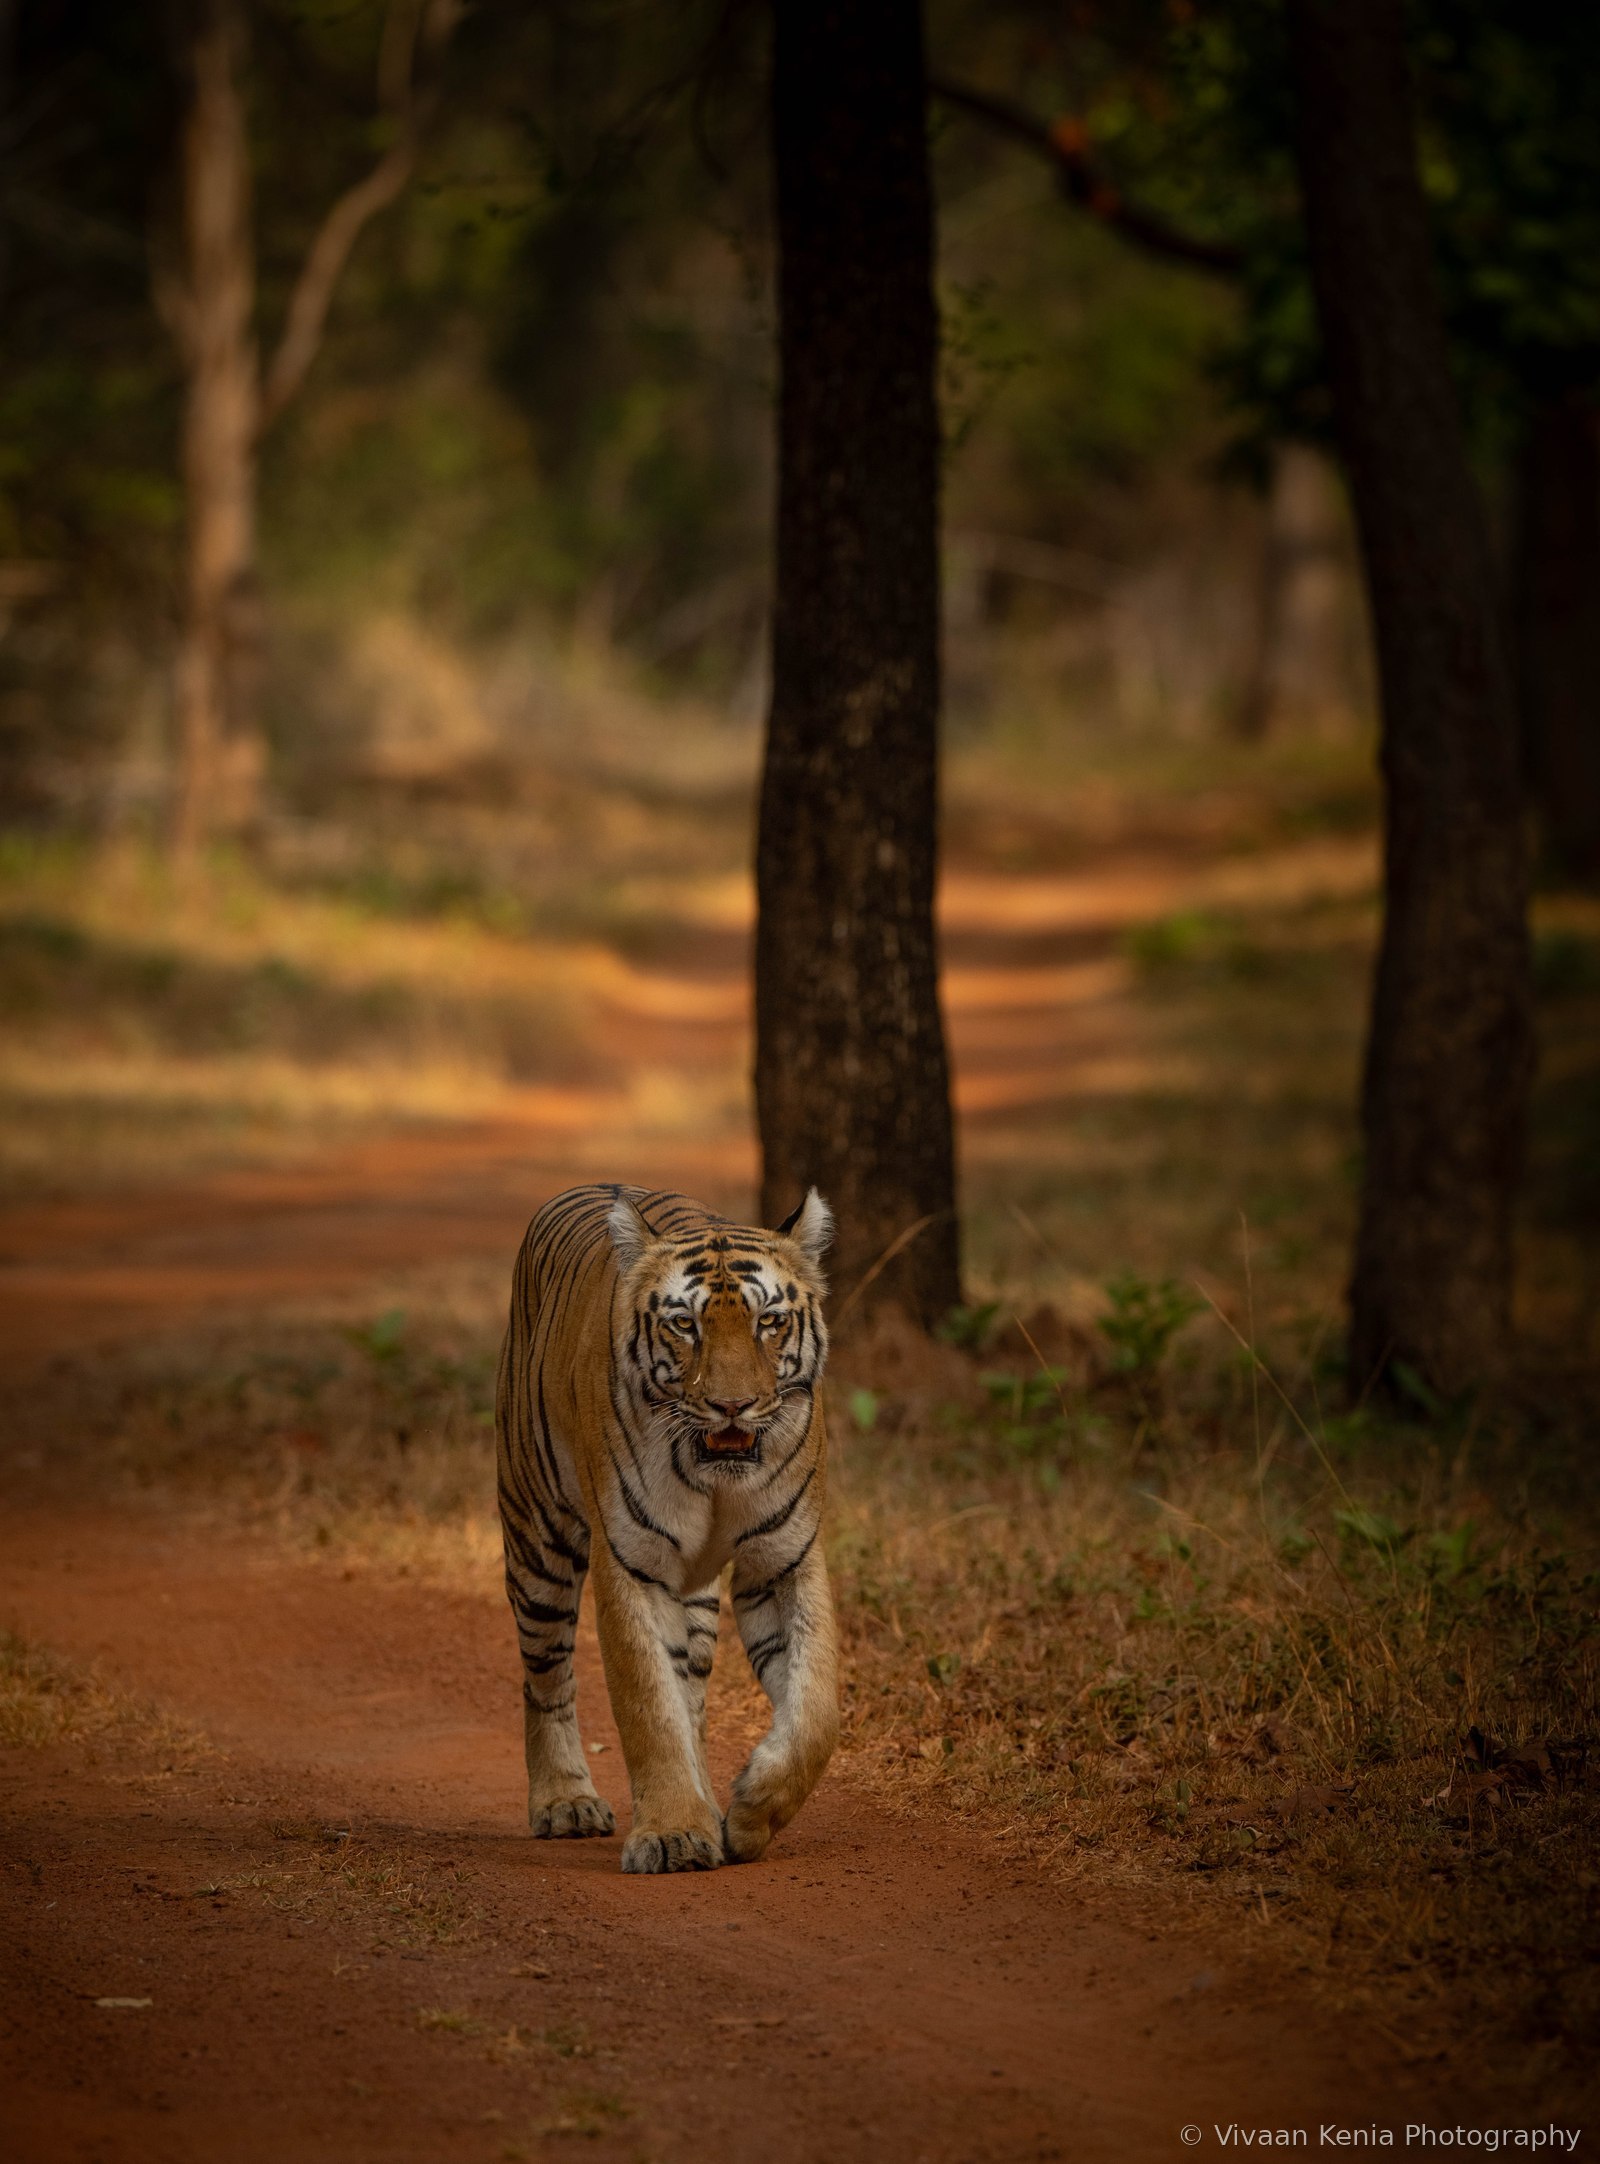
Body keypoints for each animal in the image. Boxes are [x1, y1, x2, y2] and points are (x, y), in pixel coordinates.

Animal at [494, 1182, 839, 1874]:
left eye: (769, 1321)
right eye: (685, 1324)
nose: (732, 1406)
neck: (717, 1477)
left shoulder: (785, 1561)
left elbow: (815, 1711)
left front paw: (750, 1812)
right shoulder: (631, 1564)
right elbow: (648, 1707)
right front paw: (674, 1834)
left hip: (696, 1598)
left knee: (693, 1694)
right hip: (538, 1543)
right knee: (546, 1678)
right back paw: (565, 1802)